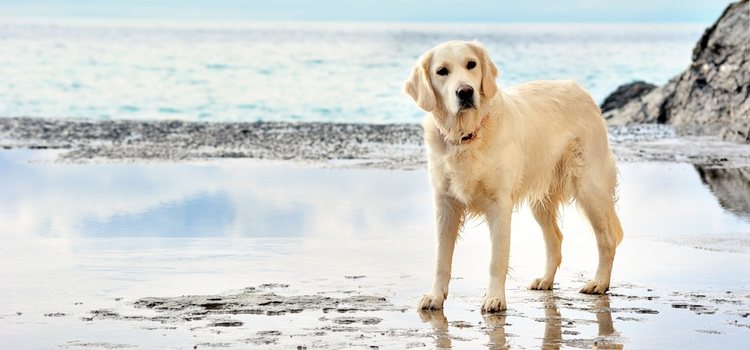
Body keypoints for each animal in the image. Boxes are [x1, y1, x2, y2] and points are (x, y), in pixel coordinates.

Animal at [408, 40, 624, 312]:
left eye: (471, 64)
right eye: (442, 71)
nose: (465, 92)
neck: (467, 136)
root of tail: (580, 90)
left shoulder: (499, 204)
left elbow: (497, 260)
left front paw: (494, 298)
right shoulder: (445, 204)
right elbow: (441, 259)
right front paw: (435, 296)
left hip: (589, 187)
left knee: (607, 239)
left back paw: (599, 282)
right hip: (541, 200)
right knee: (555, 240)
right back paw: (546, 280)